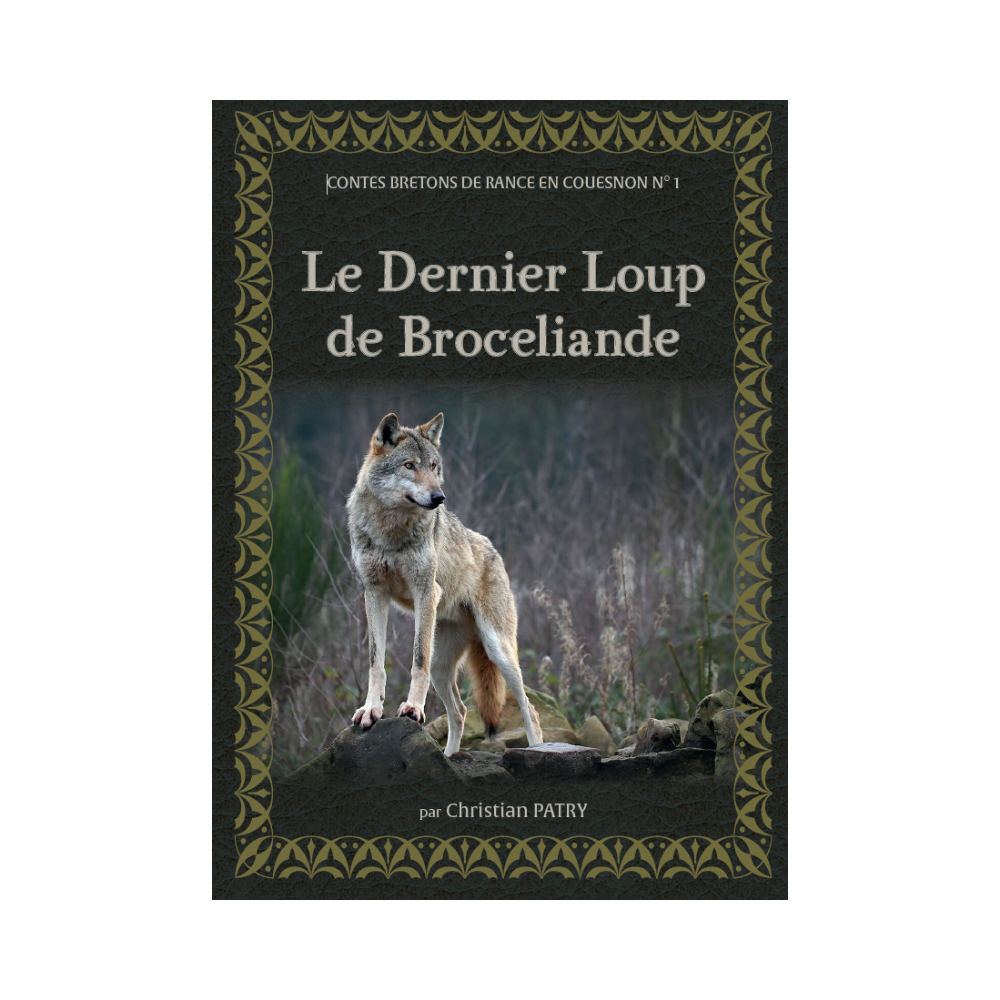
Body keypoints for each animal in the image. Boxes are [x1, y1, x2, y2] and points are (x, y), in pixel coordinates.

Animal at [346, 412, 543, 756]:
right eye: (409, 465)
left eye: (434, 466)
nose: (439, 497)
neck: (390, 529)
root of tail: (494, 550)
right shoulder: (373, 592)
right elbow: (376, 663)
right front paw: (371, 709)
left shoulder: (426, 590)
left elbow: (417, 660)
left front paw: (412, 708)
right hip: (444, 667)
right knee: (460, 712)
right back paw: (448, 757)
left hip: (499, 651)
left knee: (529, 709)